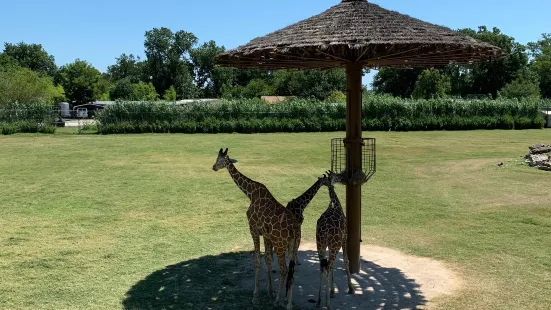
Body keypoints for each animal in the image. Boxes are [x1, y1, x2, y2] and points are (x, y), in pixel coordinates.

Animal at [211, 149, 300, 308]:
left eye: (220, 159)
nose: (213, 167)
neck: (250, 193)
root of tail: (295, 229)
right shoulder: (266, 234)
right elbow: (267, 261)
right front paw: (269, 292)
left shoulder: (253, 229)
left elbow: (257, 262)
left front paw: (256, 296)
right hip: (293, 245)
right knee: (292, 271)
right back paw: (288, 303)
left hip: (280, 244)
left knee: (284, 270)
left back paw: (278, 300)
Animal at [316, 171, 356, 308]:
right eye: (336, 176)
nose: (343, 178)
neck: (337, 206)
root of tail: (325, 230)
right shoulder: (344, 239)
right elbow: (346, 260)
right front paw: (351, 288)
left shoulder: (329, 245)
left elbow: (332, 265)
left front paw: (333, 291)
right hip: (334, 244)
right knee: (328, 266)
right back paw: (327, 304)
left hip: (320, 243)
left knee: (322, 265)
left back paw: (319, 301)